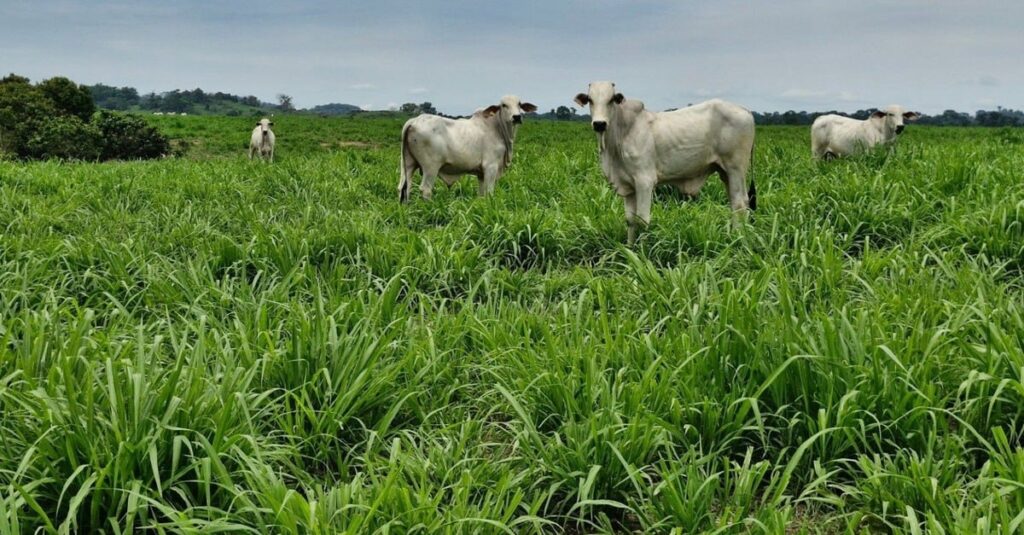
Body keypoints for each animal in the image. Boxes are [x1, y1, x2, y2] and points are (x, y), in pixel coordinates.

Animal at [397, 93, 540, 201]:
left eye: (519, 104)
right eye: (503, 105)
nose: (516, 117)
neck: (498, 129)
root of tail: (414, 121)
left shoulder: (481, 173)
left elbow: (482, 194)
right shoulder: (491, 166)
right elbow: (489, 192)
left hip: (408, 164)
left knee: (404, 188)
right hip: (431, 167)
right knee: (425, 189)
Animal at [573, 80, 757, 241]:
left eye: (611, 99)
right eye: (590, 99)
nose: (599, 124)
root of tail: (746, 111)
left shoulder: (645, 181)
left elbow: (642, 220)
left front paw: (642, 254)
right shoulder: (628, 185)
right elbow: (630, 221)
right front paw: (630, 249)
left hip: (736, 168)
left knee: (740, 204)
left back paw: (738, 240)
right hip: (724, 172)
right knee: (734, 202)